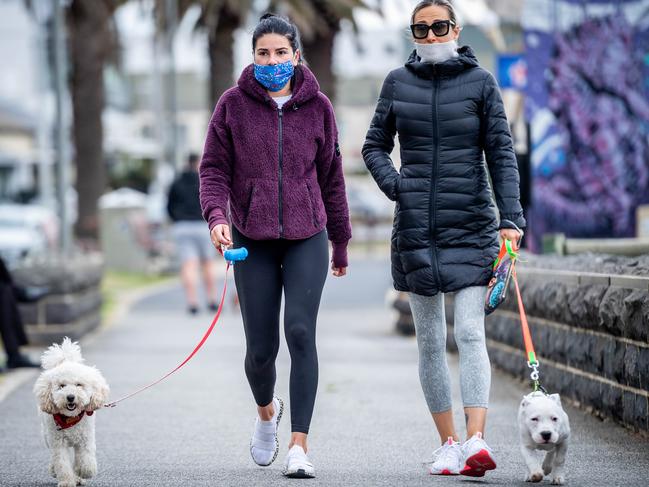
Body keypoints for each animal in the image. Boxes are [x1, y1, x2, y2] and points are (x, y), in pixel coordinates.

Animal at [33, 340, 109, 487]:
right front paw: (67, 481)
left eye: (79, 384)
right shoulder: (58, 443)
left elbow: (85, 459)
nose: (70, 397)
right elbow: (62, 463)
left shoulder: (85, 439)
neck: (70, 418)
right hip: (46, 435)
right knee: (53, 456)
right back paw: (54, 470)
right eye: (62, 386)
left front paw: (84, 472)